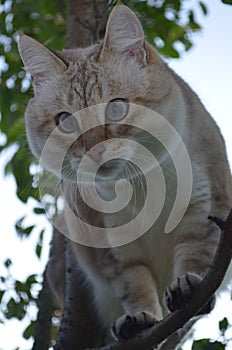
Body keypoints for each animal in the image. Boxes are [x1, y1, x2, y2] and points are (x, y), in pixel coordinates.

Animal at [18, 4, 232, 348]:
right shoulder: (112, 246)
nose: (94, 149)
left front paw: (188, 288)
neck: (139, 184)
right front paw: (140, 320)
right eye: (65, 121)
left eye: (116, 108)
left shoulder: (207, 206)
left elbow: (197, 256)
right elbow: (134, 286)